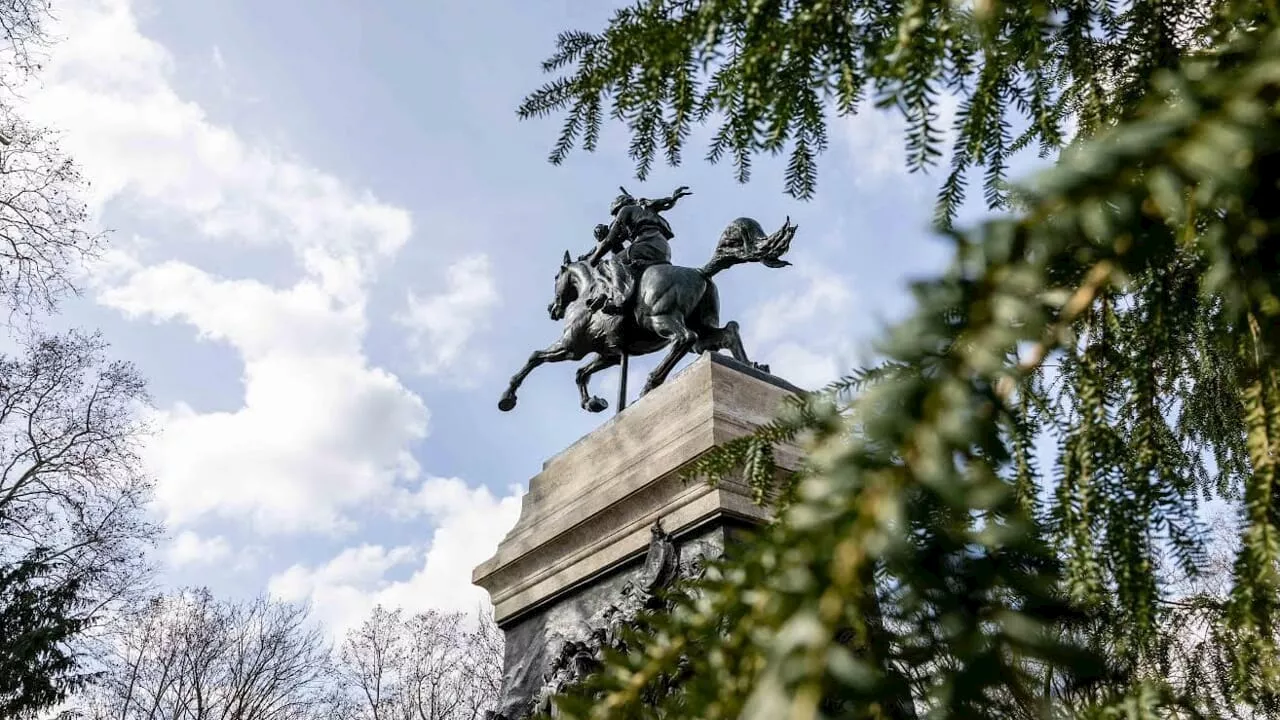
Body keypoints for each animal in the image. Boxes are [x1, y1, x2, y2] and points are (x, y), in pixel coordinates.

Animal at [494, 215, 793, 412]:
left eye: (556, 277)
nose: (552, 309)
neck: (588, 289)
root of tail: (701, 272)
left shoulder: (571, 347)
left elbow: (534, 357)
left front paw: (507, 397)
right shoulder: (609, 354)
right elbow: (581, 373)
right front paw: (594, 403)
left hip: (659, 319)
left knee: (684, 338)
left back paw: (650, 384)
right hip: (702, 326)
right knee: (727, 331)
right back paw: (751, 366)